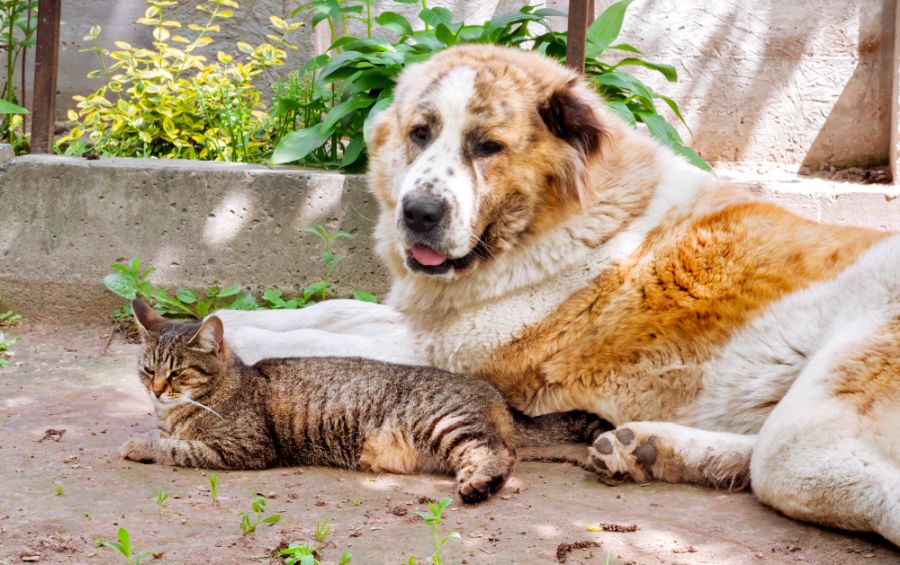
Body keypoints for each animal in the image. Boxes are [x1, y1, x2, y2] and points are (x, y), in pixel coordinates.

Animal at [116, 300, 600, 502]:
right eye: (147, 370)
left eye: (177, 373)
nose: (156, 389)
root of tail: (494, 394)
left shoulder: (244, 447)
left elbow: (176, 447)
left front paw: (139, 444)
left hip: (445, 423)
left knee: (499, 453)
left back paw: (479, 486)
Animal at [218, 45, 900, 540]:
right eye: (420, 133)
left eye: (487, 147)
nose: (418, 213)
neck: (549, 225)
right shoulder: (427, 323)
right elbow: (330, 313)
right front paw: (223, 320)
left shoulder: (454, 358)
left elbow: (314, 340)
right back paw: (646, 449)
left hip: (822, 407)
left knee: (785, 469)